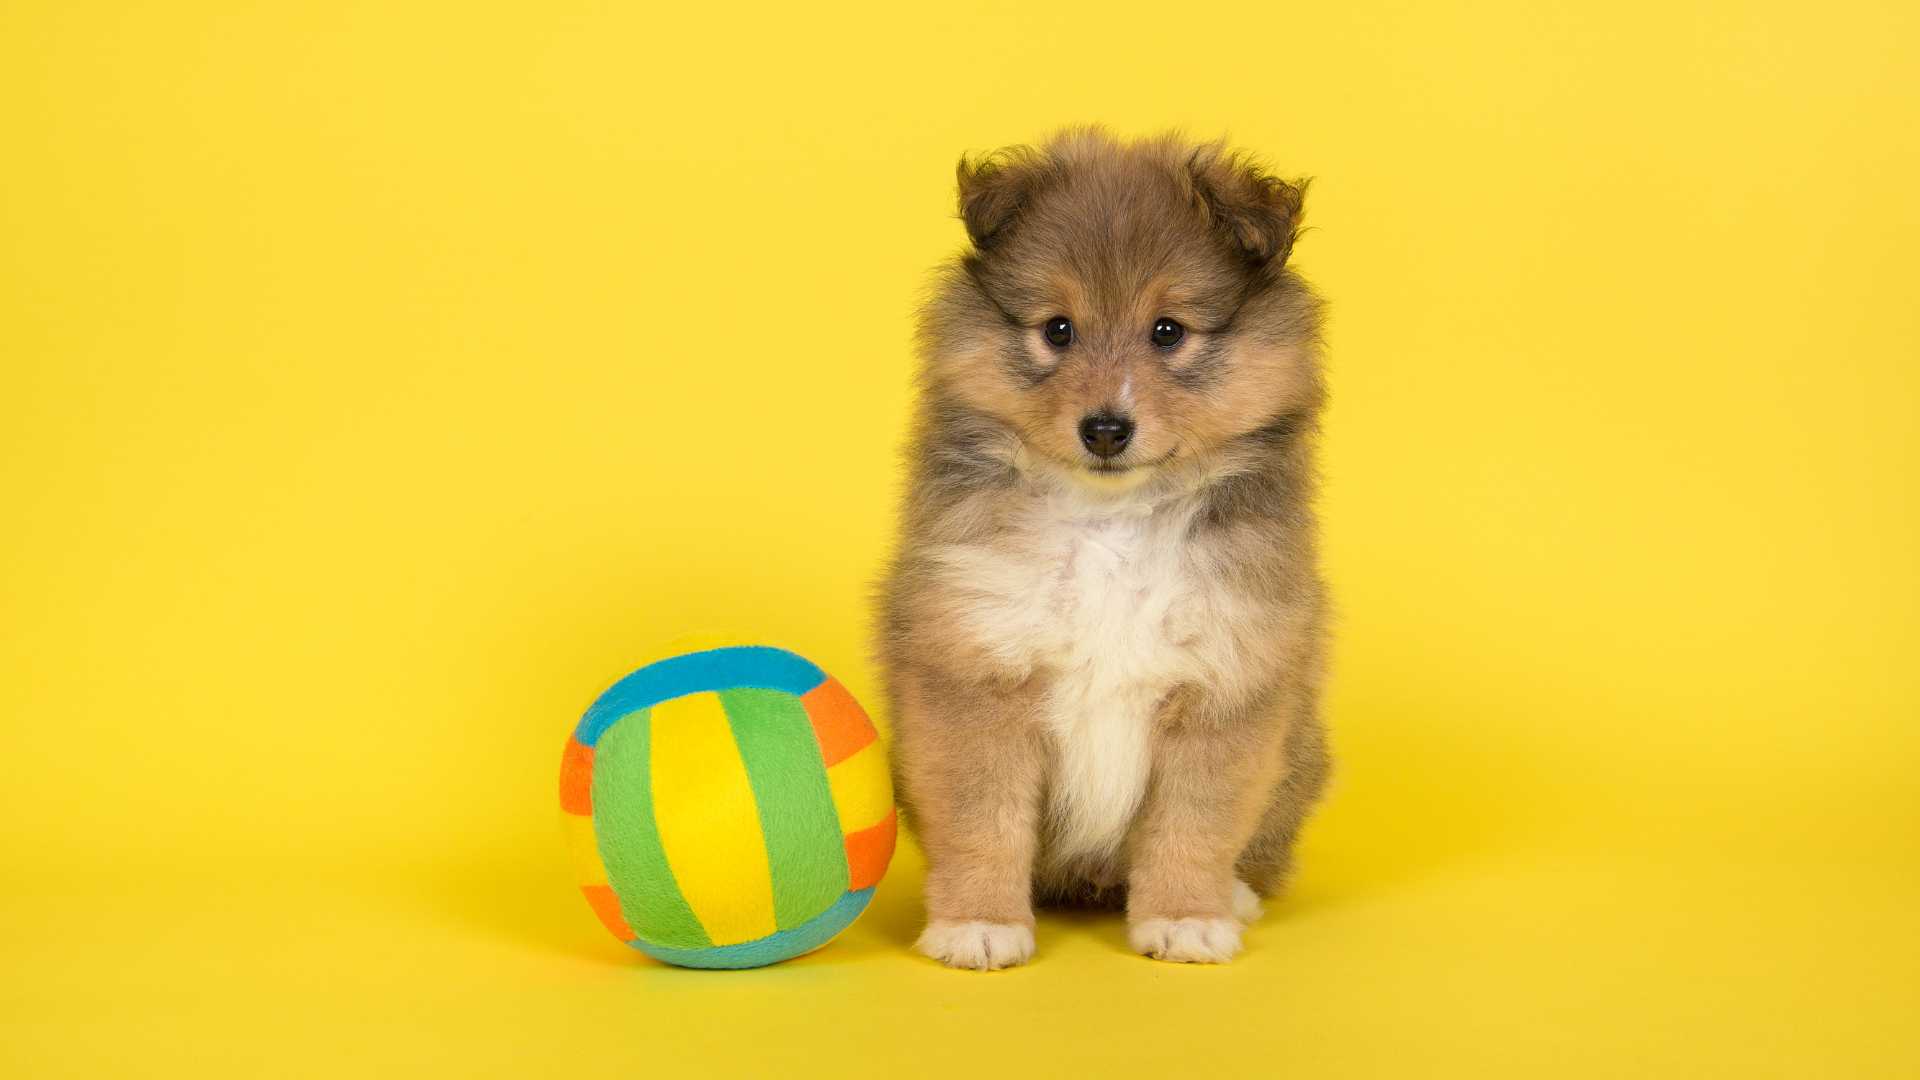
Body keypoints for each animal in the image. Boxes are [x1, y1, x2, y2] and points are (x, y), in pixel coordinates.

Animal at [879, 127, 1328, 968]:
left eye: (1168, 331)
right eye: (1058, 329)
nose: (1107, 429)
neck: (1112, 523)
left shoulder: (1223, 681)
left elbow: (1193, 825)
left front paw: (1186, 918)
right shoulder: (977, 670)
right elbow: (984, 824)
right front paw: (978, 925)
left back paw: (1236, 895)